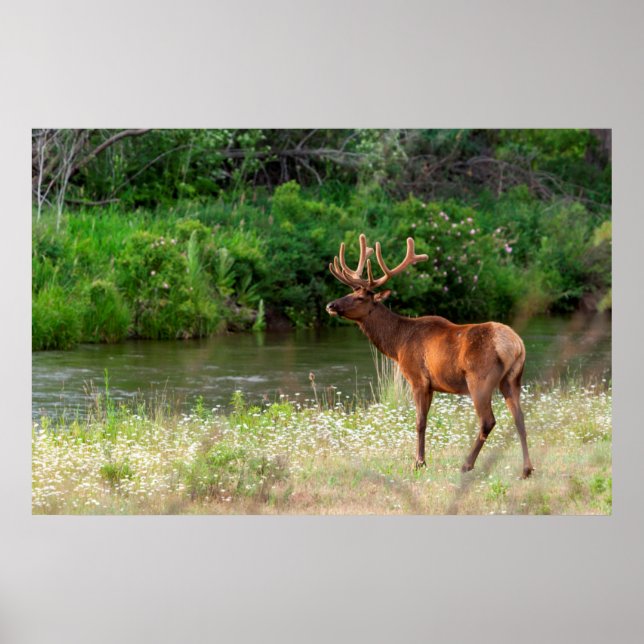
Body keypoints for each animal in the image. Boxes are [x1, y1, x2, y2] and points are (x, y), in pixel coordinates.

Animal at [325, 234, 534, 479]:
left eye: (360, 298)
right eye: (349, 292)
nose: (330, 305)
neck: (397, 344)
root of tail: (516, 345)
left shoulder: (418, 378)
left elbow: (420, 422)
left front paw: (419, 462)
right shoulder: (433, 385)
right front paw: (421, 460)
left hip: (480, 379)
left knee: (487, 421)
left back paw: (467, 465)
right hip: (512, 379)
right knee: (520, 418)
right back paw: (526, 469)